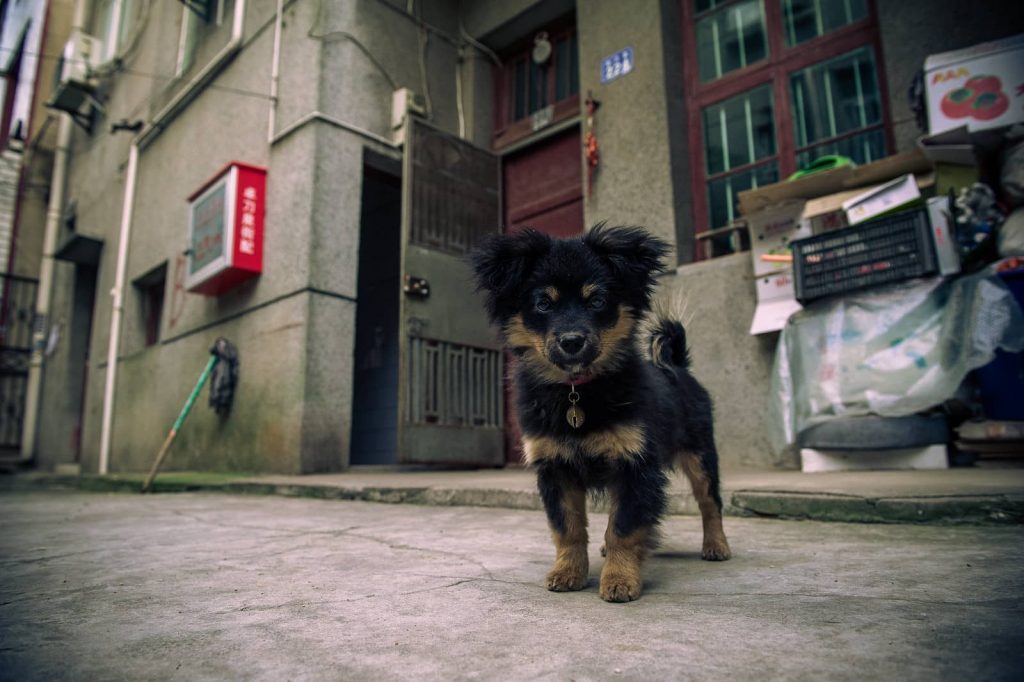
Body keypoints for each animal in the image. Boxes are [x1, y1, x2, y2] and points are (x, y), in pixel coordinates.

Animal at [471, 224, 730, 603]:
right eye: (543, 304)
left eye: (596, 301)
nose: (571, 341)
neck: (576, 389)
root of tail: (677, 365)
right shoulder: (555, 467)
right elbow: (568, 528)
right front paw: (568, 572)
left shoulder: (634, 465)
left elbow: (623, 526)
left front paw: (620, 579)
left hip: (701, 455)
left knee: (709, 502)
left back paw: (716, 546)